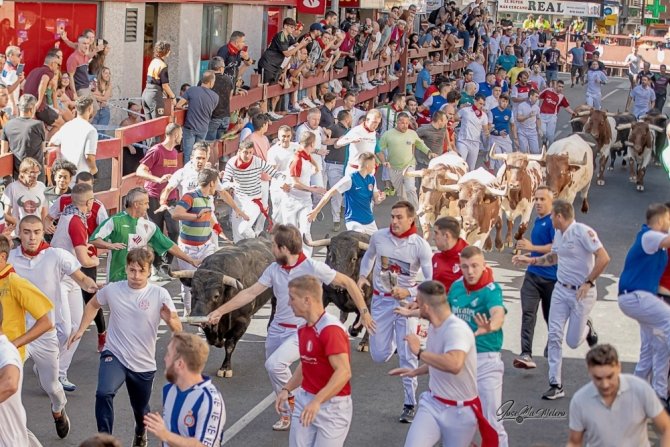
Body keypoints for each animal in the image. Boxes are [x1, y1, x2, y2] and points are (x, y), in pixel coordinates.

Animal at [171, 238, 276, 378]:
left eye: (216, 295)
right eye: (192, 291)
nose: (197, 318)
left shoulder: (242, 321)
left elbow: (229, 344)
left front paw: (225, 368)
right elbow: (212, 339)